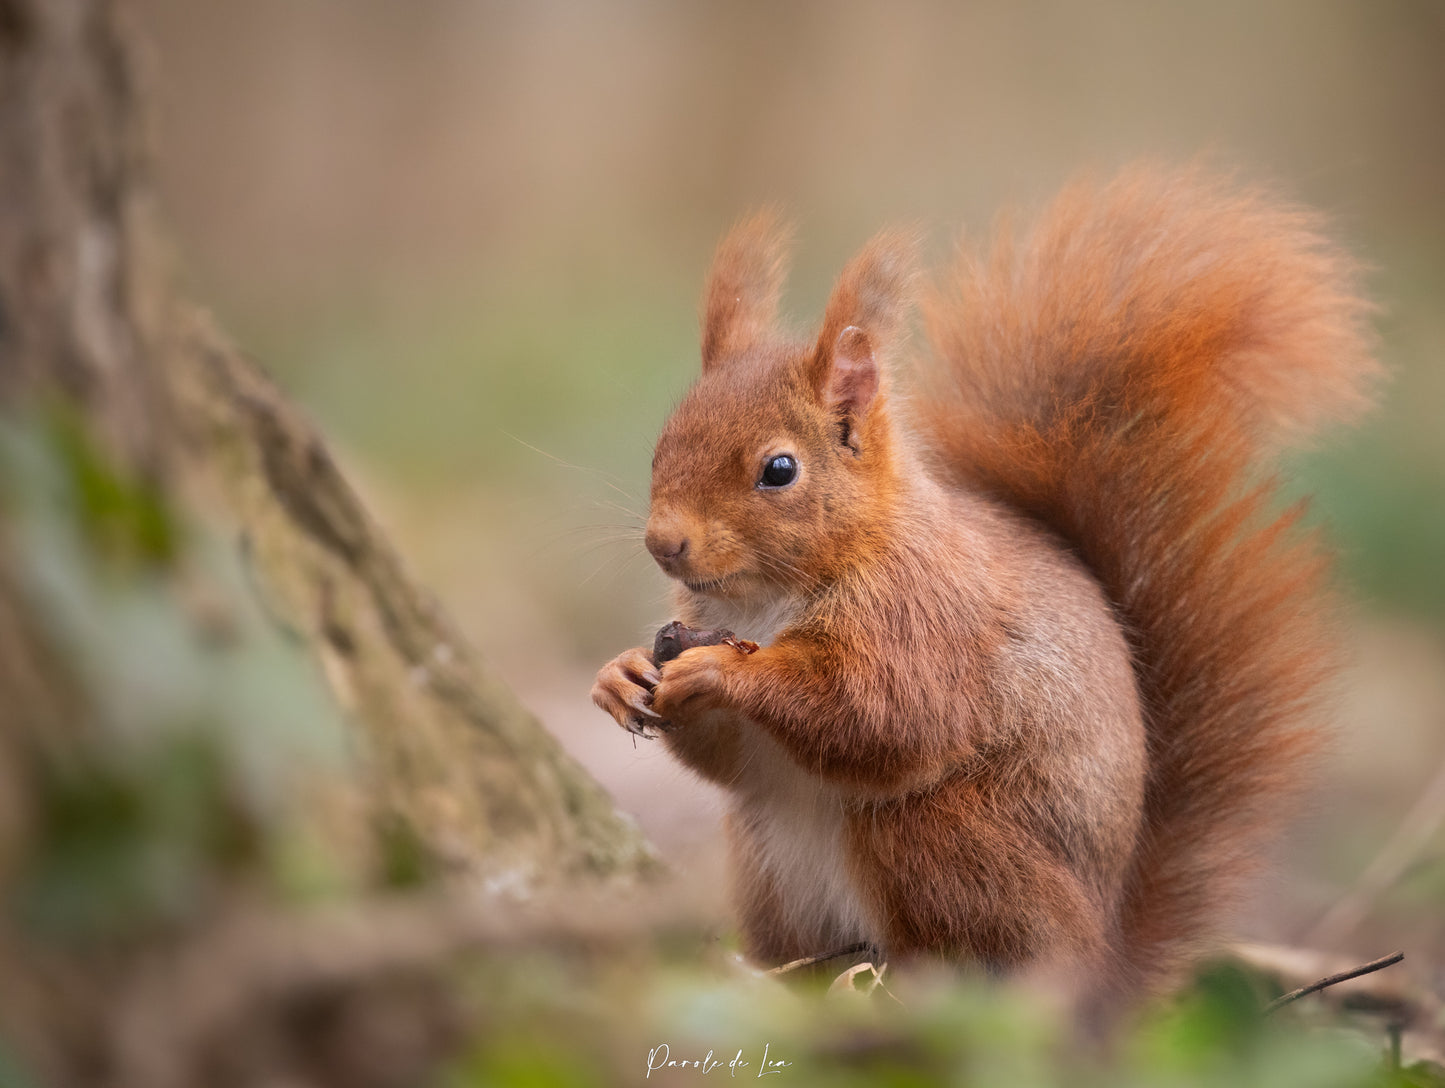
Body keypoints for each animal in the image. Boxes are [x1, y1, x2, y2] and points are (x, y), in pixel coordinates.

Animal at [589, 165, 1375, 1005]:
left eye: (778, 470)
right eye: (661, 445)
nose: (663, 542)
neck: (764, 596)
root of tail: (1102, 969)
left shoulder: (924, 616)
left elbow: (882, 713)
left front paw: (719, 671)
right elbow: (729, 762)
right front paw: (621, 675)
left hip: (942, 841)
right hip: (766, 862)